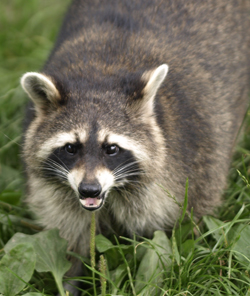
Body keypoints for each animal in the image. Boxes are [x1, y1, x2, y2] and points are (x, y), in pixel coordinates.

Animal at [21, 0, 250, 294]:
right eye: (71, 148)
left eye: (111, 149)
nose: (89, 189)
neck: (100, 74)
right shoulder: (55, 193)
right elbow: (70, 237)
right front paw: (70, 282)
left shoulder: (194, 160)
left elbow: (182, 233)